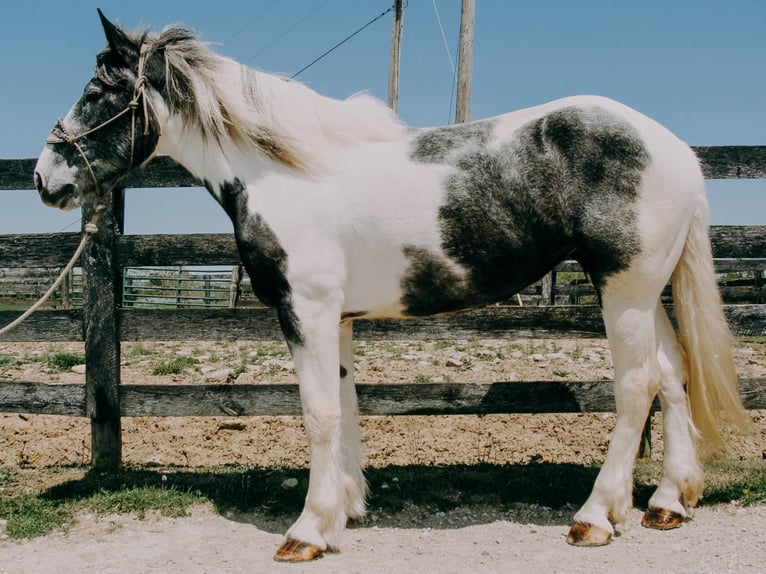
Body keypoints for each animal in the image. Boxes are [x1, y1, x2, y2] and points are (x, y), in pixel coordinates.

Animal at [34, 11, 752, 564]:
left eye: (97, 90)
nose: (45, 177)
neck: (284, 171)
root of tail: (674, 148)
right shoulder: (338, 318)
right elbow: (346, 405)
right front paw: (346, 509)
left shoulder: (306, 310)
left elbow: (318, 412)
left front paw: (306, 531)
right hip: (644, 290)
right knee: (673, 374)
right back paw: (667, 502)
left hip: (624, 290)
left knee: (636, 387)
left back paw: (597, 516)